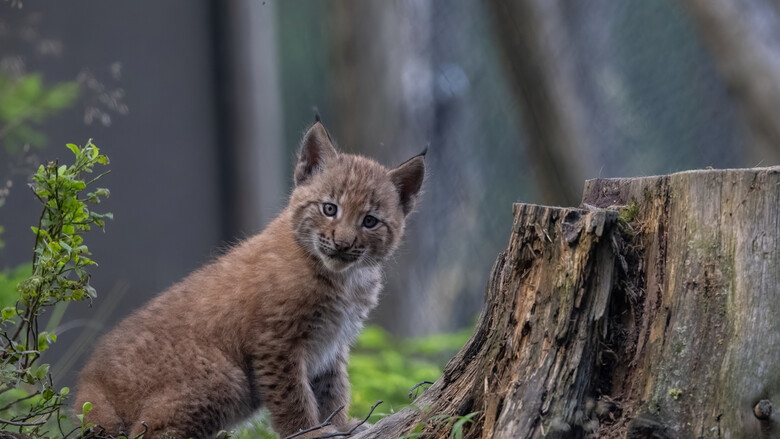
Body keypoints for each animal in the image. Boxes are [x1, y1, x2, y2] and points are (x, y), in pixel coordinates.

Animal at [74, 120, 426, 439]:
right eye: (329, 209)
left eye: (370, 221)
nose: (342, 244)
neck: (344, 277)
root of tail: (89, 380)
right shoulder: (277, 341)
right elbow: (293, 394)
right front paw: (307, 432)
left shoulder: (332, 344)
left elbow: (332, 388)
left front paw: (340, 425)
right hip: (227, 378)